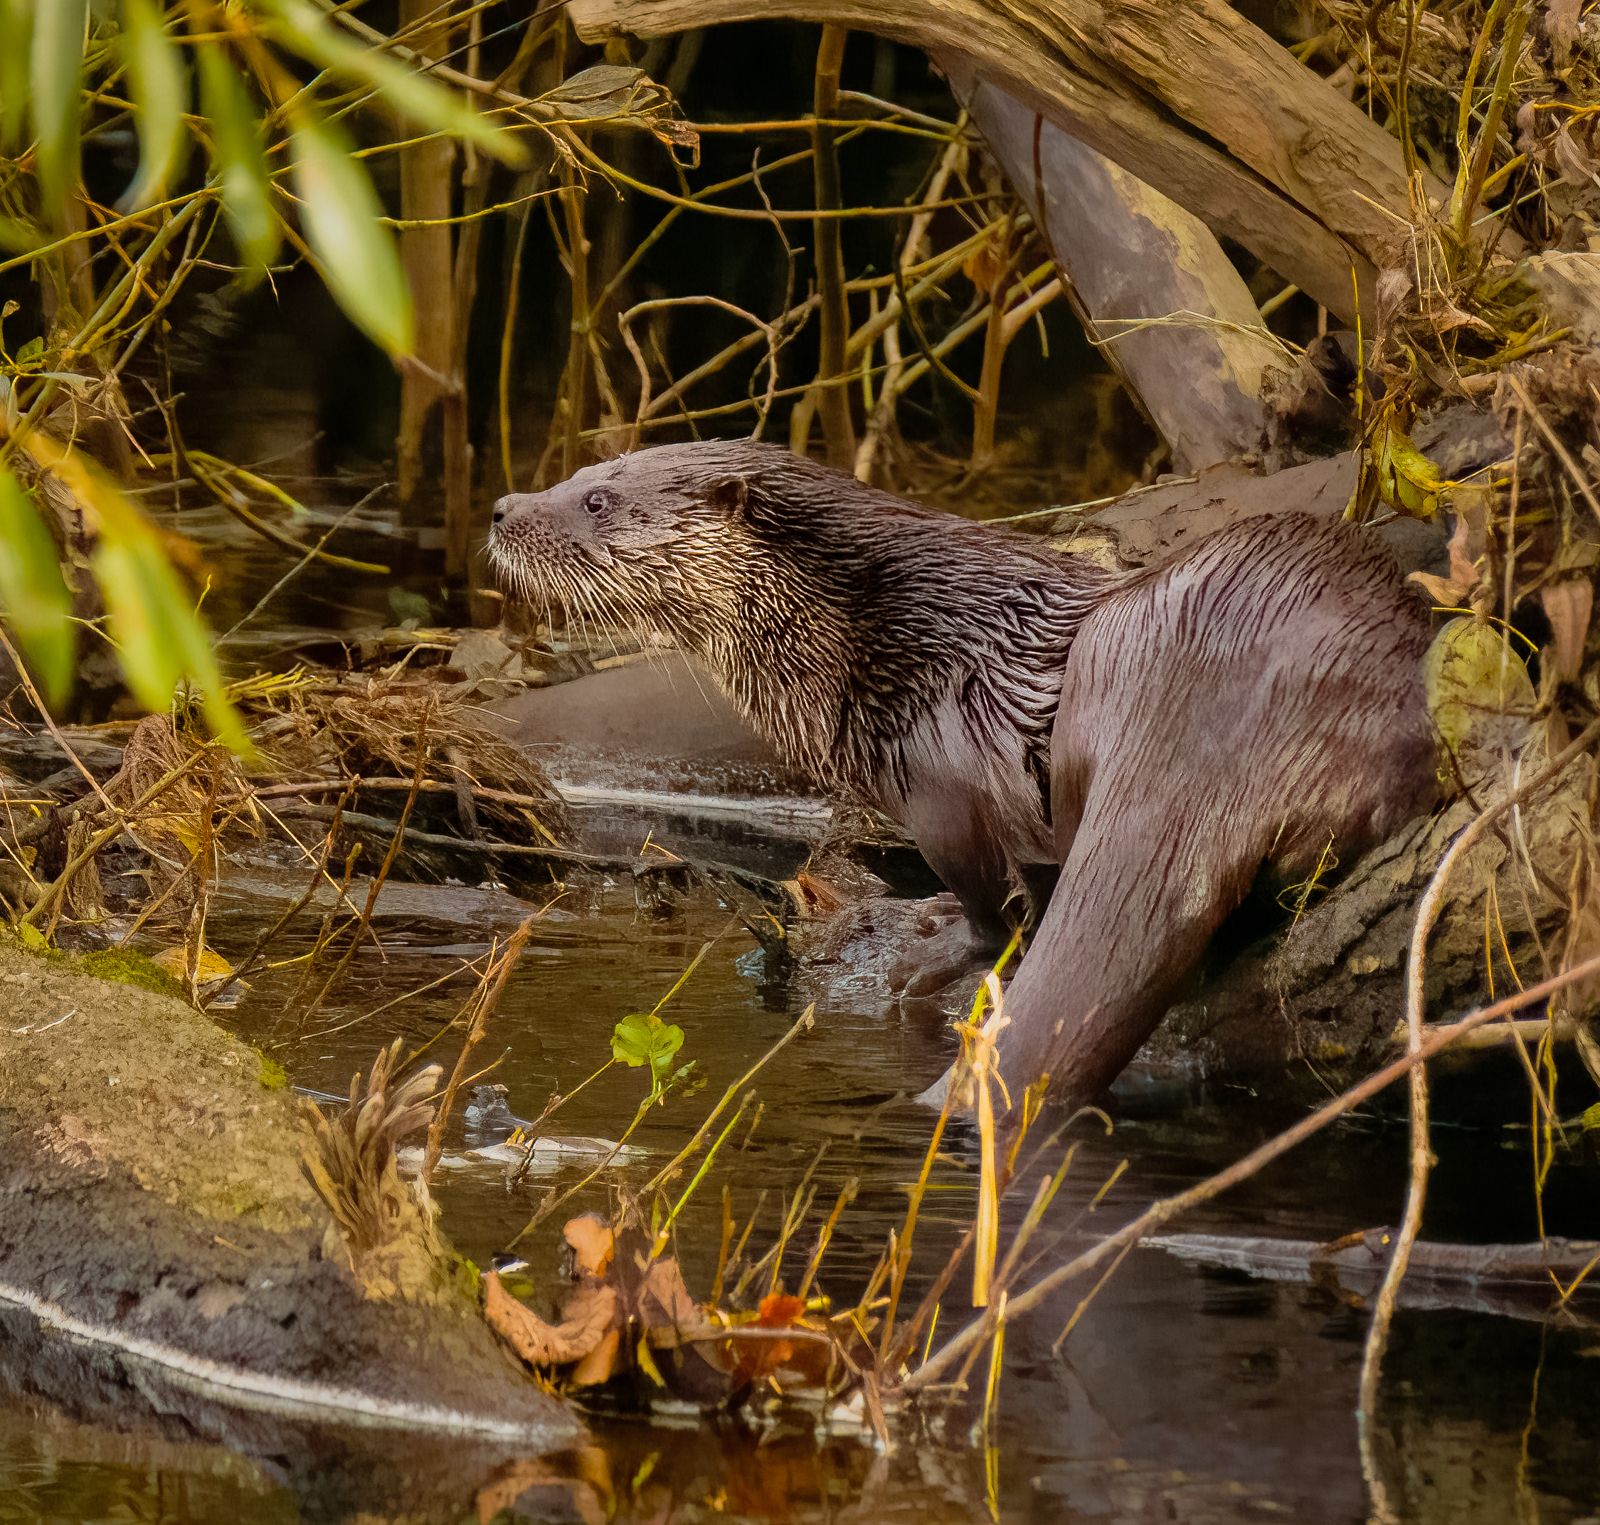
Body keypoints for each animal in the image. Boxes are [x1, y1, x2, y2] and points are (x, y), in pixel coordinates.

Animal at [487, 441, 1437, 1110]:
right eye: (580, 471)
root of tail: (1225, 693)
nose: (500, 507)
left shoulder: (931, 770)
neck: (870, 635)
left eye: (599, 500)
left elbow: (998, 904)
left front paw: (931, 933)